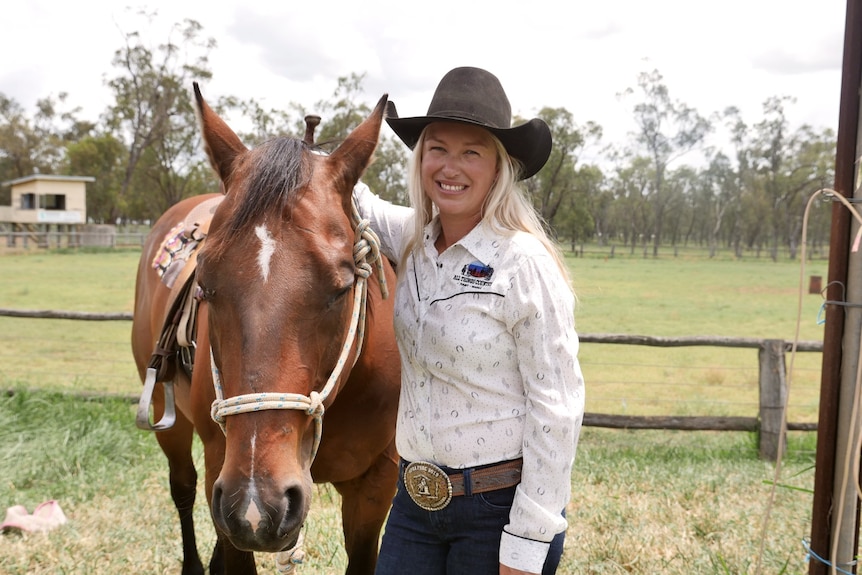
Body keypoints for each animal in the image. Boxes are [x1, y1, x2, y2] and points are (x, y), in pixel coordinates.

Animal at [132, 86, 402, 575]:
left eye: (341, 287)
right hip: (171, 421)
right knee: (182, 487)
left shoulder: (375, 487)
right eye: (205, 285)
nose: (261, 500)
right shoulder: (226, 482)